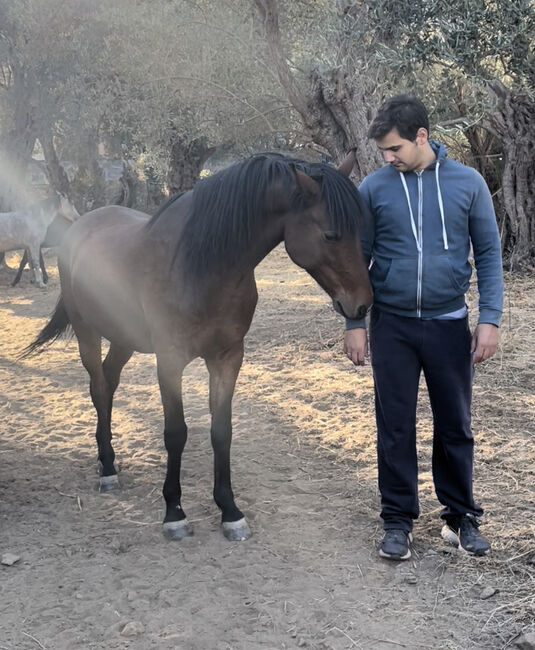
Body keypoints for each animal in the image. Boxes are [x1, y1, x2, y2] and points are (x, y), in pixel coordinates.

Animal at [24, 149, 372, 540]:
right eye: (331, 234)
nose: (362, 304)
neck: (202, 265)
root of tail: (80, 226)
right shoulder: (170, 360)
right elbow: (176, 433)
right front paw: (174, 512)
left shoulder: (227, 357)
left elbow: (222, 431)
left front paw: (230, 511)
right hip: (88, 332)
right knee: (98, 388)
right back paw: (108, 469)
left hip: (124, 338)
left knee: (110, 382)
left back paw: (107, 459)